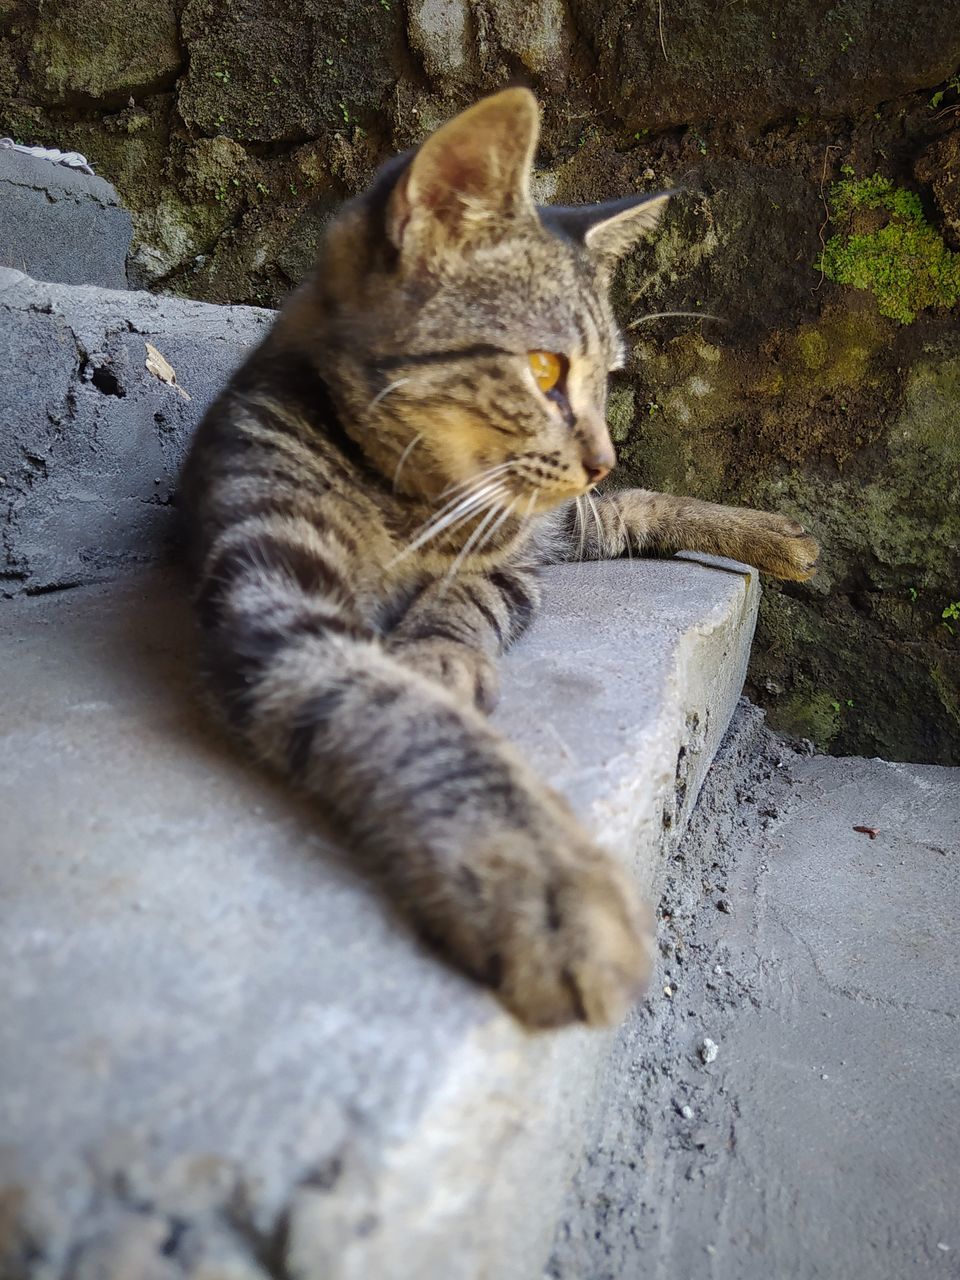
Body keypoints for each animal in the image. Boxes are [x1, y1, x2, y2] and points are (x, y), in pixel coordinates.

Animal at [180, 87, 819, 1029]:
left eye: (606, 379)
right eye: (546, 369)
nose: (603, 454)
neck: (408, 496)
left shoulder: (506, 566)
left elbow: (463, 600)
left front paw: (438, 651)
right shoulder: (274, 594)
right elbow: (409, 719)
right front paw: (542, 878)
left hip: (576, 523)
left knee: (633, 508)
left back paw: (777, 537)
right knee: (628, 512)